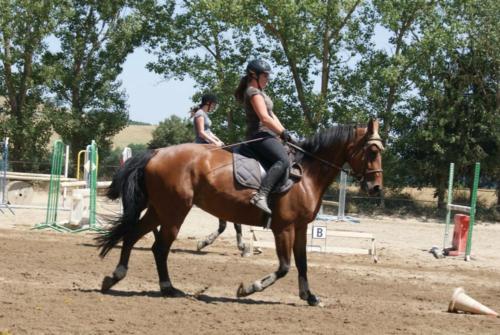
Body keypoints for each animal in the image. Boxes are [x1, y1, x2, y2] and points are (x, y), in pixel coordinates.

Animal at [96, 119, 382, 308]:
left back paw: (115, 277)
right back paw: (168, 288)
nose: (376, 188)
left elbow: (302, 263)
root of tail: (156, 153)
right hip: (174, 211)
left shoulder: (300, 228)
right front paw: (247, 289)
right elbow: (284, 267)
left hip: (159, 209)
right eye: (372, 151)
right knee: (159, 247)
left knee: (132, 236)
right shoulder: (283, 228)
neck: (307, 175)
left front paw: (310, 297)